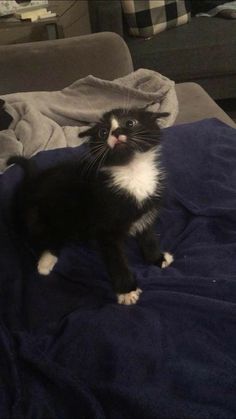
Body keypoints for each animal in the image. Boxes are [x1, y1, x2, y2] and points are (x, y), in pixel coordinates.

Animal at [7, 108, 173, 306]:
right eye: (103, 132)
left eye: (130, 123)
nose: (115, 133)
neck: (131, 174)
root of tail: (32, 182)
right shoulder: (105, 229)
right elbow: (116, 260)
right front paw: (126, 290)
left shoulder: (146, 213)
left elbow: (148, 238)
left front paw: (157, 258)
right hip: (38, 217)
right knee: (46, 237)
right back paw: (46, 261)